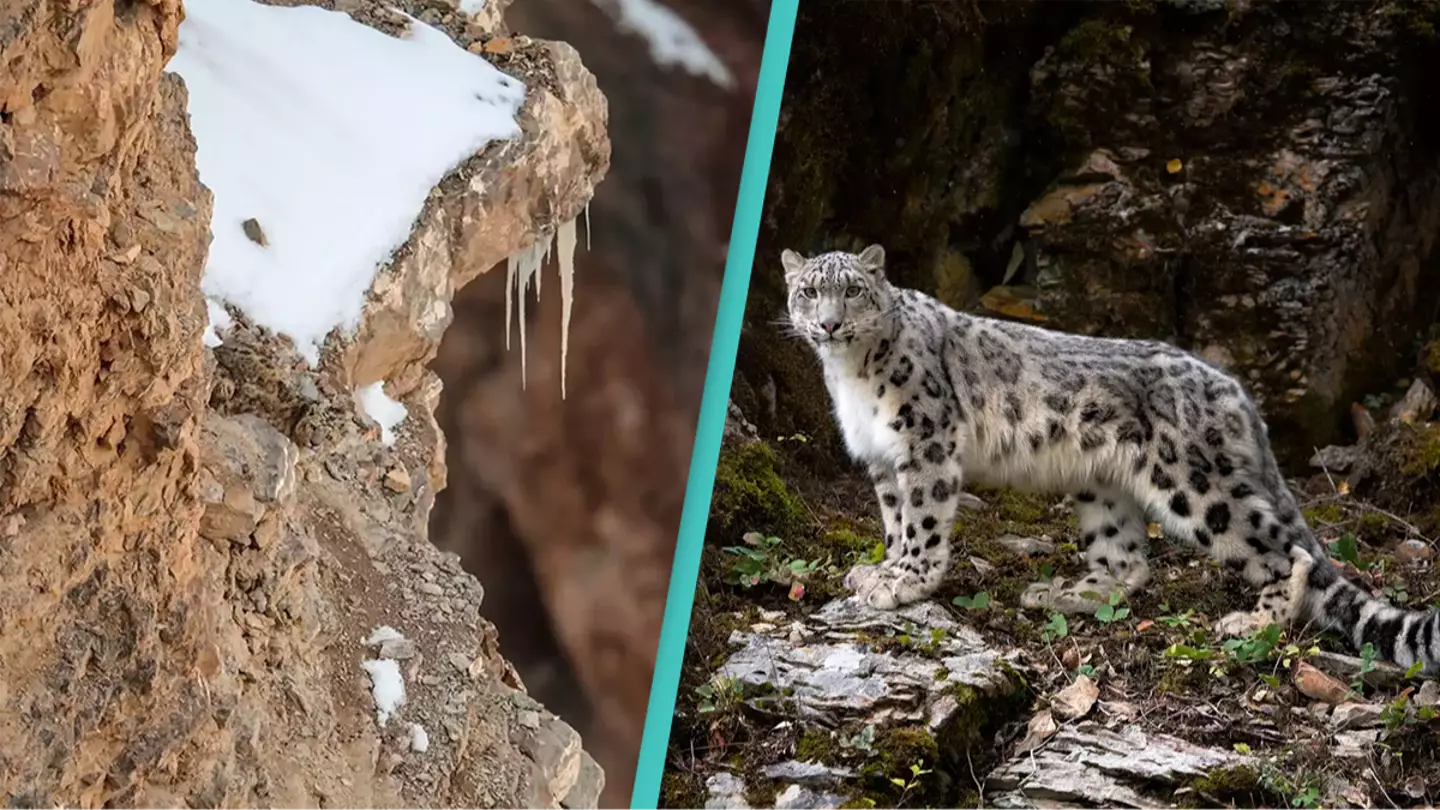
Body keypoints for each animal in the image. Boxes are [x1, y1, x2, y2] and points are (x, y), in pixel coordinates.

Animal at [779, 242, 1440, 674]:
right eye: (808, 291)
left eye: (852, 290)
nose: (829, 324)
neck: (850, 374)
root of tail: (1233, 388)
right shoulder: (883, 461)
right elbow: (894, 521)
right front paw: (880, 571)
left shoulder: (925, 446)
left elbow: (920, 521)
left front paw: (905, 582)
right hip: (1104, 488)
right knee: (1126, 564)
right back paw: (1063, 593)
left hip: (1193, 484)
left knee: (1286, 550)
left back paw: (1256, 621)